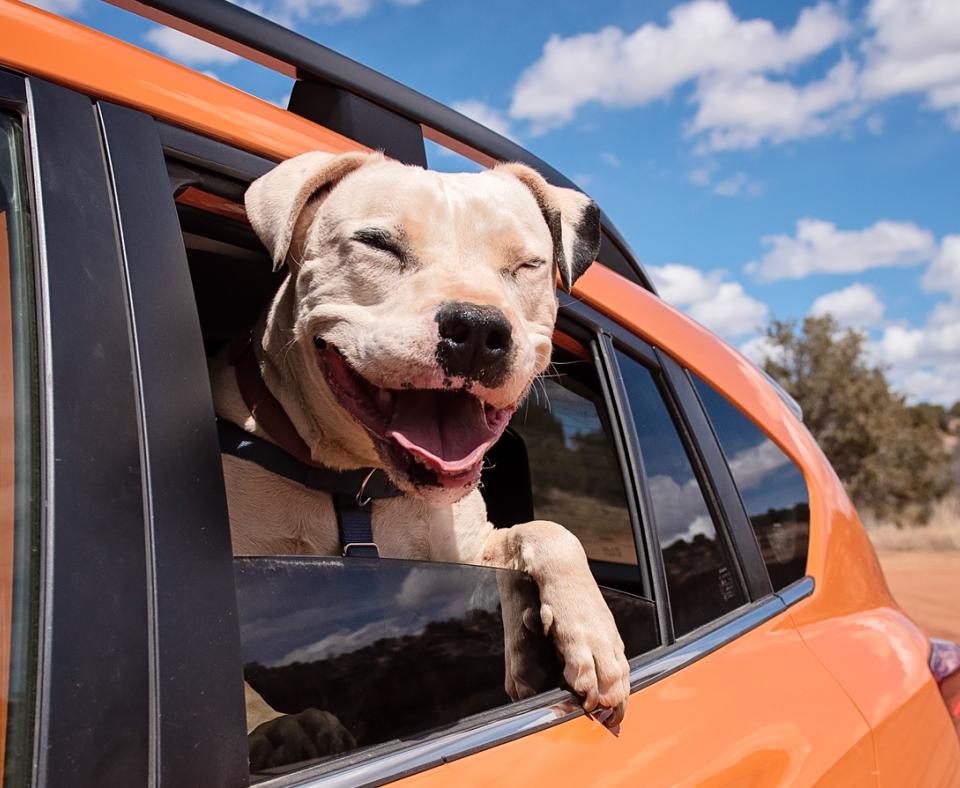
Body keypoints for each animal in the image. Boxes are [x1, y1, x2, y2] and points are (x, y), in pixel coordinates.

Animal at [210, 151, 632, 768]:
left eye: (527, 265)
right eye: (378, 244)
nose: (477, 329)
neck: (358, 487)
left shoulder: (468, 547)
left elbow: (547, 531)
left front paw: (588, 634)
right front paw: (281, 729)